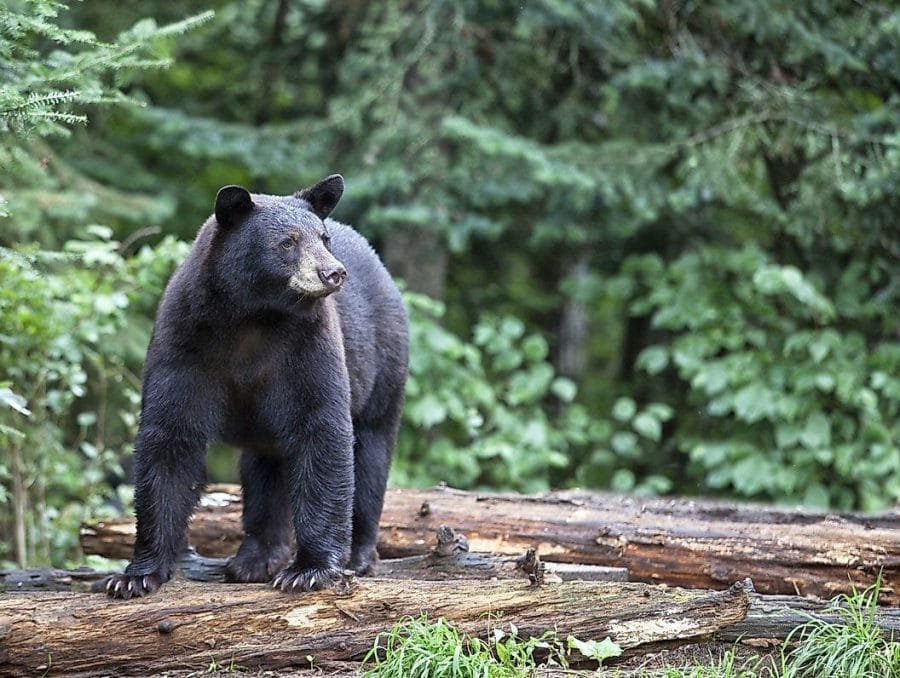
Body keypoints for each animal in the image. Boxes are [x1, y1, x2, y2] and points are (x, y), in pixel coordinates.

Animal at [105, 174, 408, 598]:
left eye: (323, 237)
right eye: (287, 242)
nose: (333, 273)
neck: (254, 316)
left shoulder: (308, 346)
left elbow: (322, 430)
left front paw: (309, 570)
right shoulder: (185, 341)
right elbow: (170, 437)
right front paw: (135, 574)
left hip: (384, 365)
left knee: (371, 454)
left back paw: (358, 556)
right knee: (265, 471)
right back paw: (255, 558)